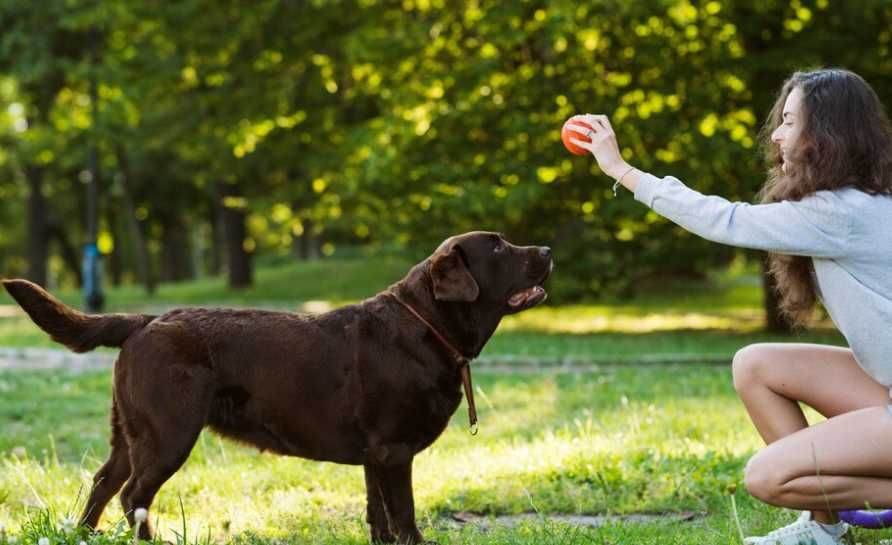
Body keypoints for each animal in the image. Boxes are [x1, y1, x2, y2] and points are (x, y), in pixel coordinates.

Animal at [1, 231, 552, 544]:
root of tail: (146, 320)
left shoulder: (374, 455)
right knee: (133, 494)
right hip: (168, 433)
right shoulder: (395, 452)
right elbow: (405, 515)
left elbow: (378, 516)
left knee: (102, 482)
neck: (426, 323)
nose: (547, 250)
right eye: (498, 247)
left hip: (131, 433)